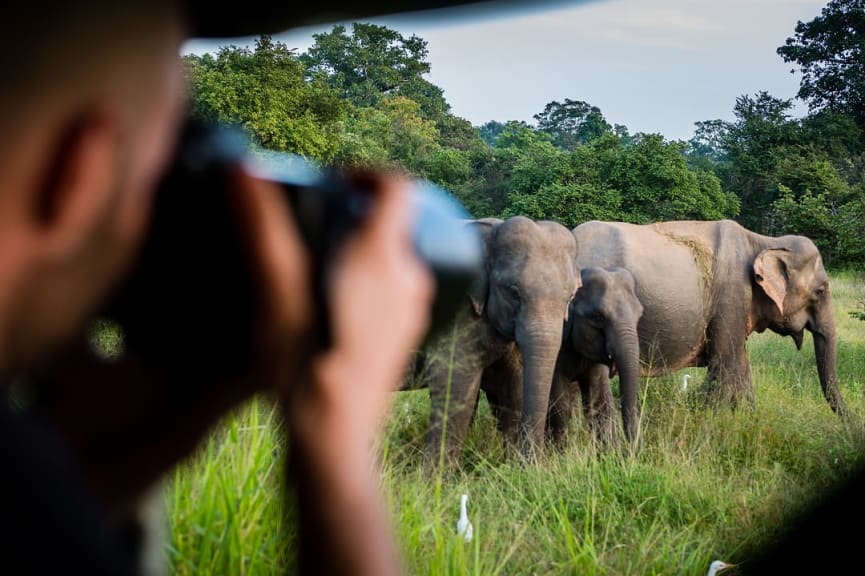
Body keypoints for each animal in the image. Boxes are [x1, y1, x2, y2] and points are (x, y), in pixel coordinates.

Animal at [420, 216, 576, 464]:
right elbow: (454, 387)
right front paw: (435, 476)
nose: (532, 465)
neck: (491, 229)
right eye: (514, 292)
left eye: (570, 297)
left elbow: (512, 390)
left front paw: (510, 466)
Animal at [552, 268, 640, 444]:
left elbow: (598, 399)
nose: (631, 448)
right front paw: (561, 449)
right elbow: (560, 402)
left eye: (640, 315)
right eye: (598, 317)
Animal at [572, 217, 848, 414]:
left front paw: (748, 415)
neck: (762, 240)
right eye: (821, 291)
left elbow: (739, 362)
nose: (849, 421)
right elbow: (727, 363)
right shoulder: (731, 298)